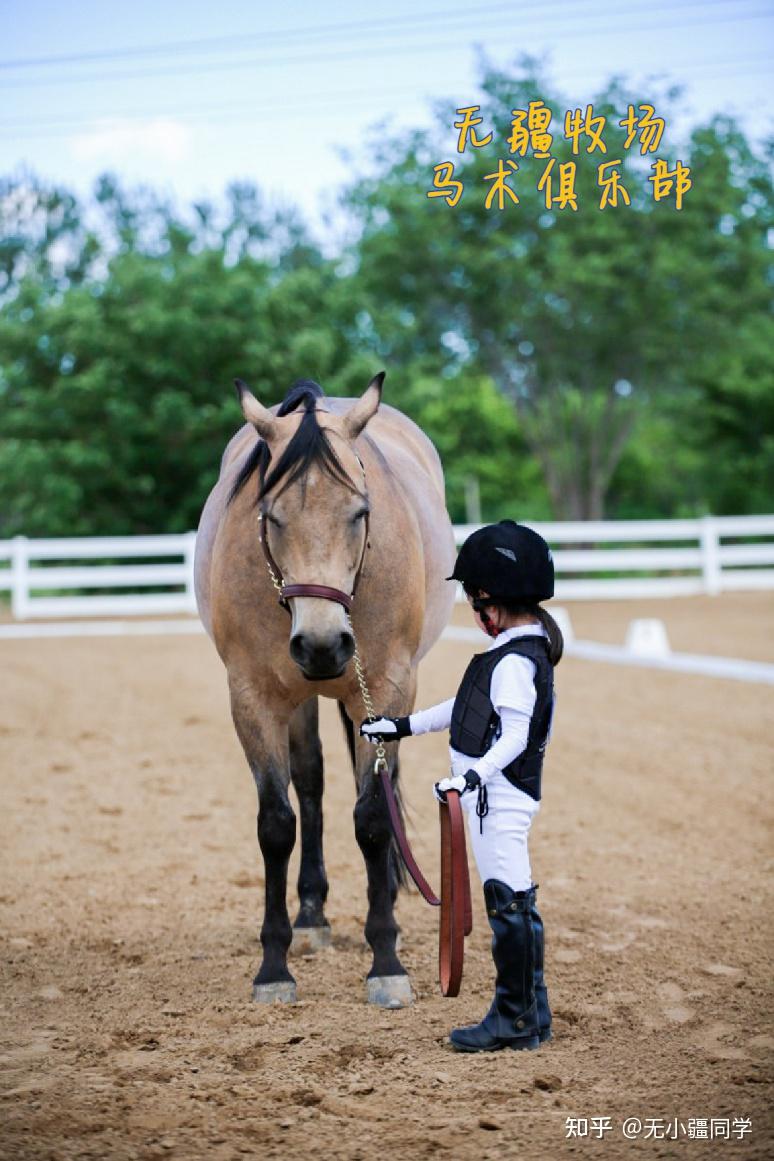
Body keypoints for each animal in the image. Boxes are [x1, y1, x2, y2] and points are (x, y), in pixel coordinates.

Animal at [194, 373, 459, 1007]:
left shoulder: (385, 690)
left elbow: (373, 817)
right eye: (271, 515)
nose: (321, 646)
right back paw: (312, 915)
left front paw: (386, 960)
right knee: (310, 781)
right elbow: (276, 822)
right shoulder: (254, 699)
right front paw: (274, 966)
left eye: (360, 512)